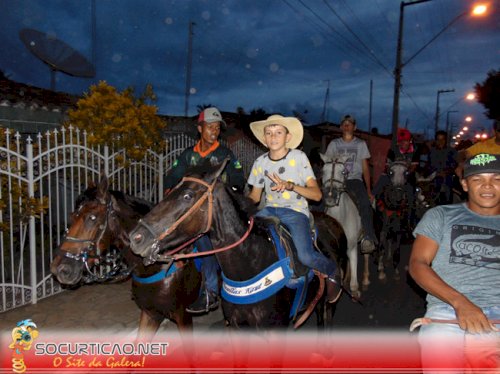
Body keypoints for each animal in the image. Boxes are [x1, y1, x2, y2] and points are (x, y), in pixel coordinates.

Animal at [318, 153, 370, 298]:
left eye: (343, 171)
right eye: (323, 171)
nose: (330, 196)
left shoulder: (352, 246)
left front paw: (354, 289)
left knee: (367, 255)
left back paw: (365, 279)